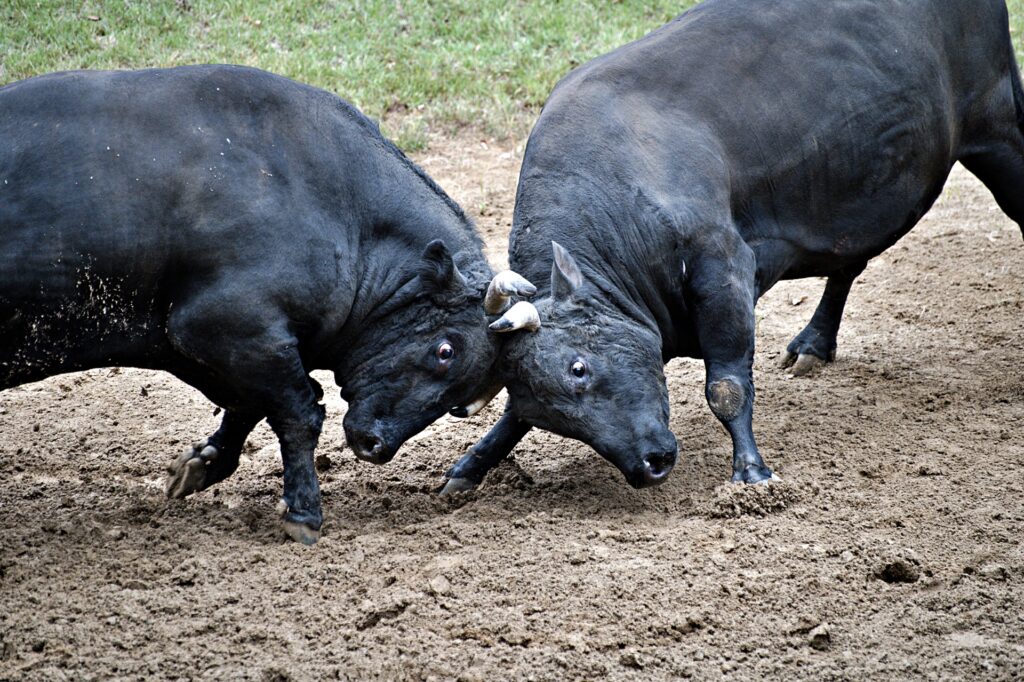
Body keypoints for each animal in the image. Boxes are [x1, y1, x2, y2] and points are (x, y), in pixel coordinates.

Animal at [0, 65, 528, 540]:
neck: (331, 206)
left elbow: (250, 404)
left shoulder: (241, 348)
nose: (376, 446)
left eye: (461, 405)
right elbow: (299, 412)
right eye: (445, 351)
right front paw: (304, 512)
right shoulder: (225, 328)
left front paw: (204, 462)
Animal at [444, 0, 1024, 489]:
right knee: (849, 259)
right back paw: (814, 343)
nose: (649, 466)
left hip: (998, 125)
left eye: (578, 367)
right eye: (548, 414)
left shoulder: (723, 269)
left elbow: (726, 387)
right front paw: (472, 465)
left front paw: (751, 471)